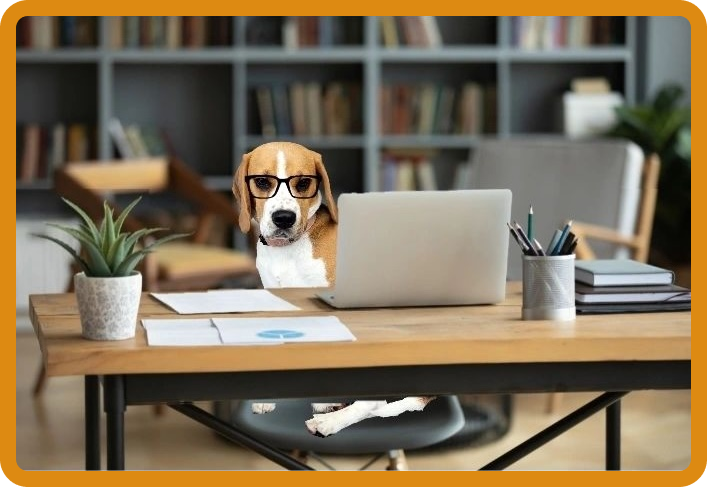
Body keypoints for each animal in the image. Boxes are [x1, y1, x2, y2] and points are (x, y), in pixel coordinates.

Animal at [232, 142, 434, 438]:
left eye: (303, 183)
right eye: (262, 182)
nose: (284, 219)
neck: (289, 250)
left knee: (373, 403)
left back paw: (328, 419)